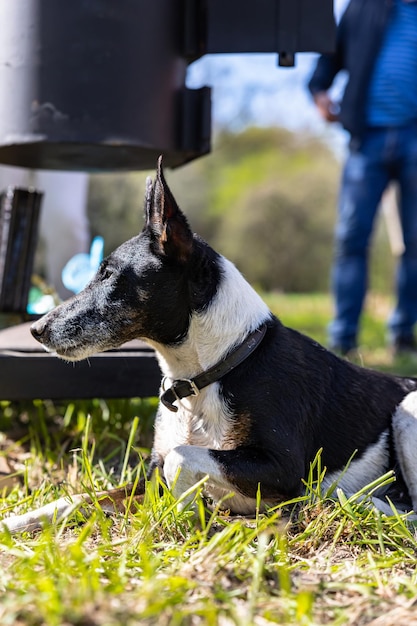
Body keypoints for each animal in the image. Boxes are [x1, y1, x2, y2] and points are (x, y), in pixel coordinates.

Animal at [4, 157, 417, 532]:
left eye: (109, 275)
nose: (37, 329)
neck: (210, 372)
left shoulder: (284, 469)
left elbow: (182, 456)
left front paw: (186, 511)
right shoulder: (148, 477)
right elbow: (79, 498)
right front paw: (14, 522)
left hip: (407, 408)